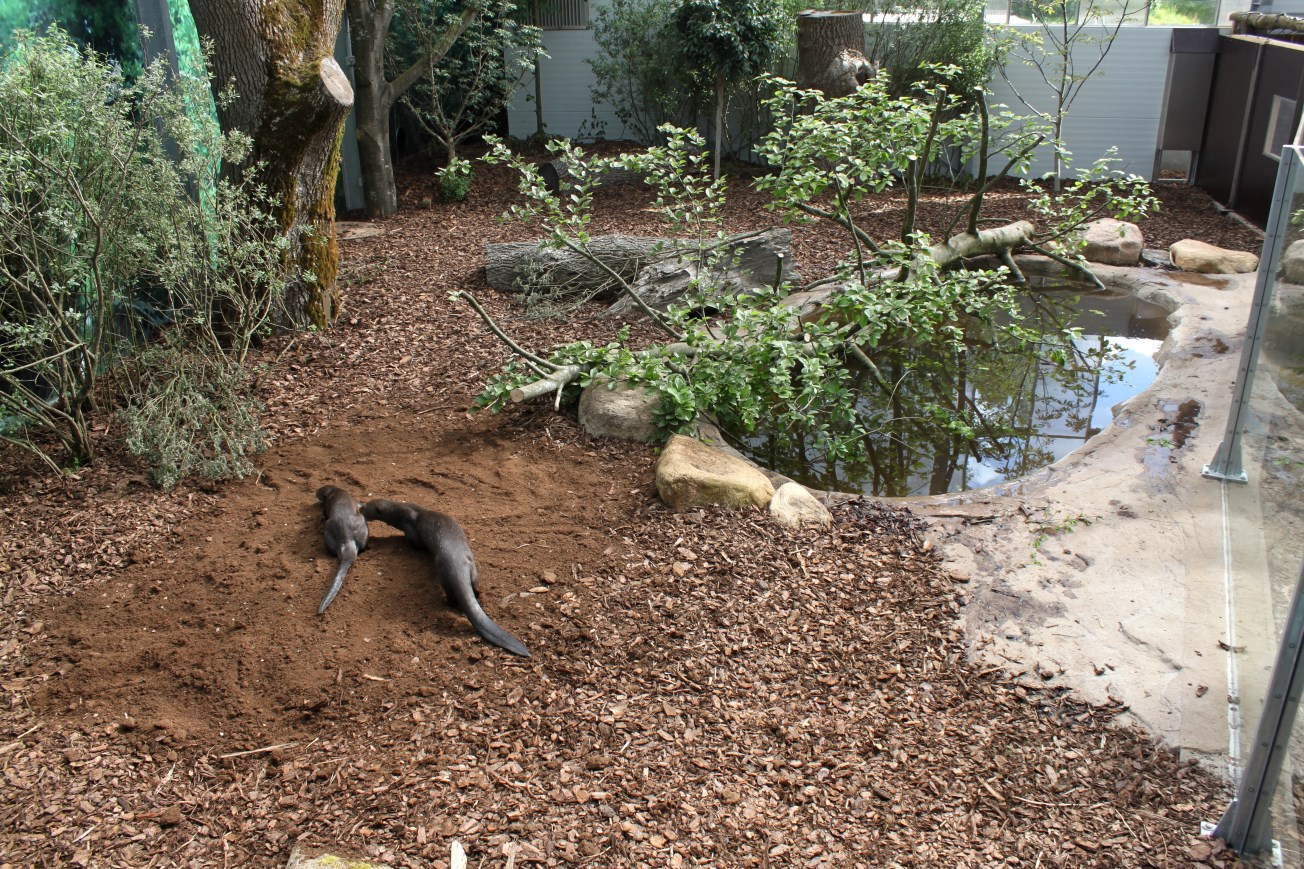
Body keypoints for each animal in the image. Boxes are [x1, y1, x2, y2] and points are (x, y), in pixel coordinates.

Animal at [361, 498, 530, 657]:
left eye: (367, 507)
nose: (360, 507)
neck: (402, 512)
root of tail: (456, 562)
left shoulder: (411, 531)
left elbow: (415, 544)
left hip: (442, 573)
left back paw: (446, 601)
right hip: (473, 569)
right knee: (475, 586)